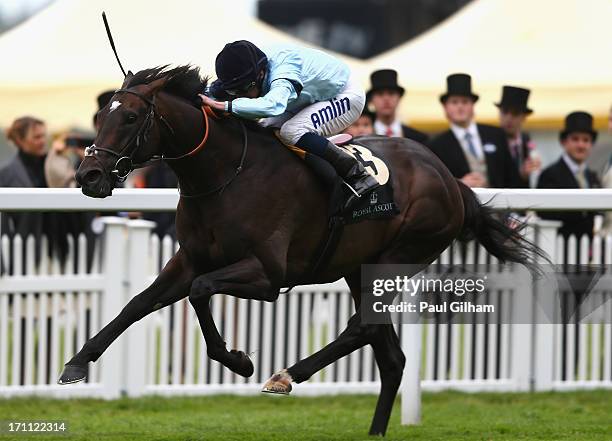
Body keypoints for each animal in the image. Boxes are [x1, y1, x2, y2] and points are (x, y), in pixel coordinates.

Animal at [61, 66, 540, 436]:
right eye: (101, 115)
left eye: (131, 117)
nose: (88, 175)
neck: (225, 174)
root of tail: (450, 179)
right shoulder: (188, 260)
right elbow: (138, 303)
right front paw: (77, 363)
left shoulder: (267, 275)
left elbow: (200, 291)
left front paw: (238, 362)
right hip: (360, 269)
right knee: (390, 355)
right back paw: (373, 430)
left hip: (398, 257)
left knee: (362, 327)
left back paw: (286, 375)